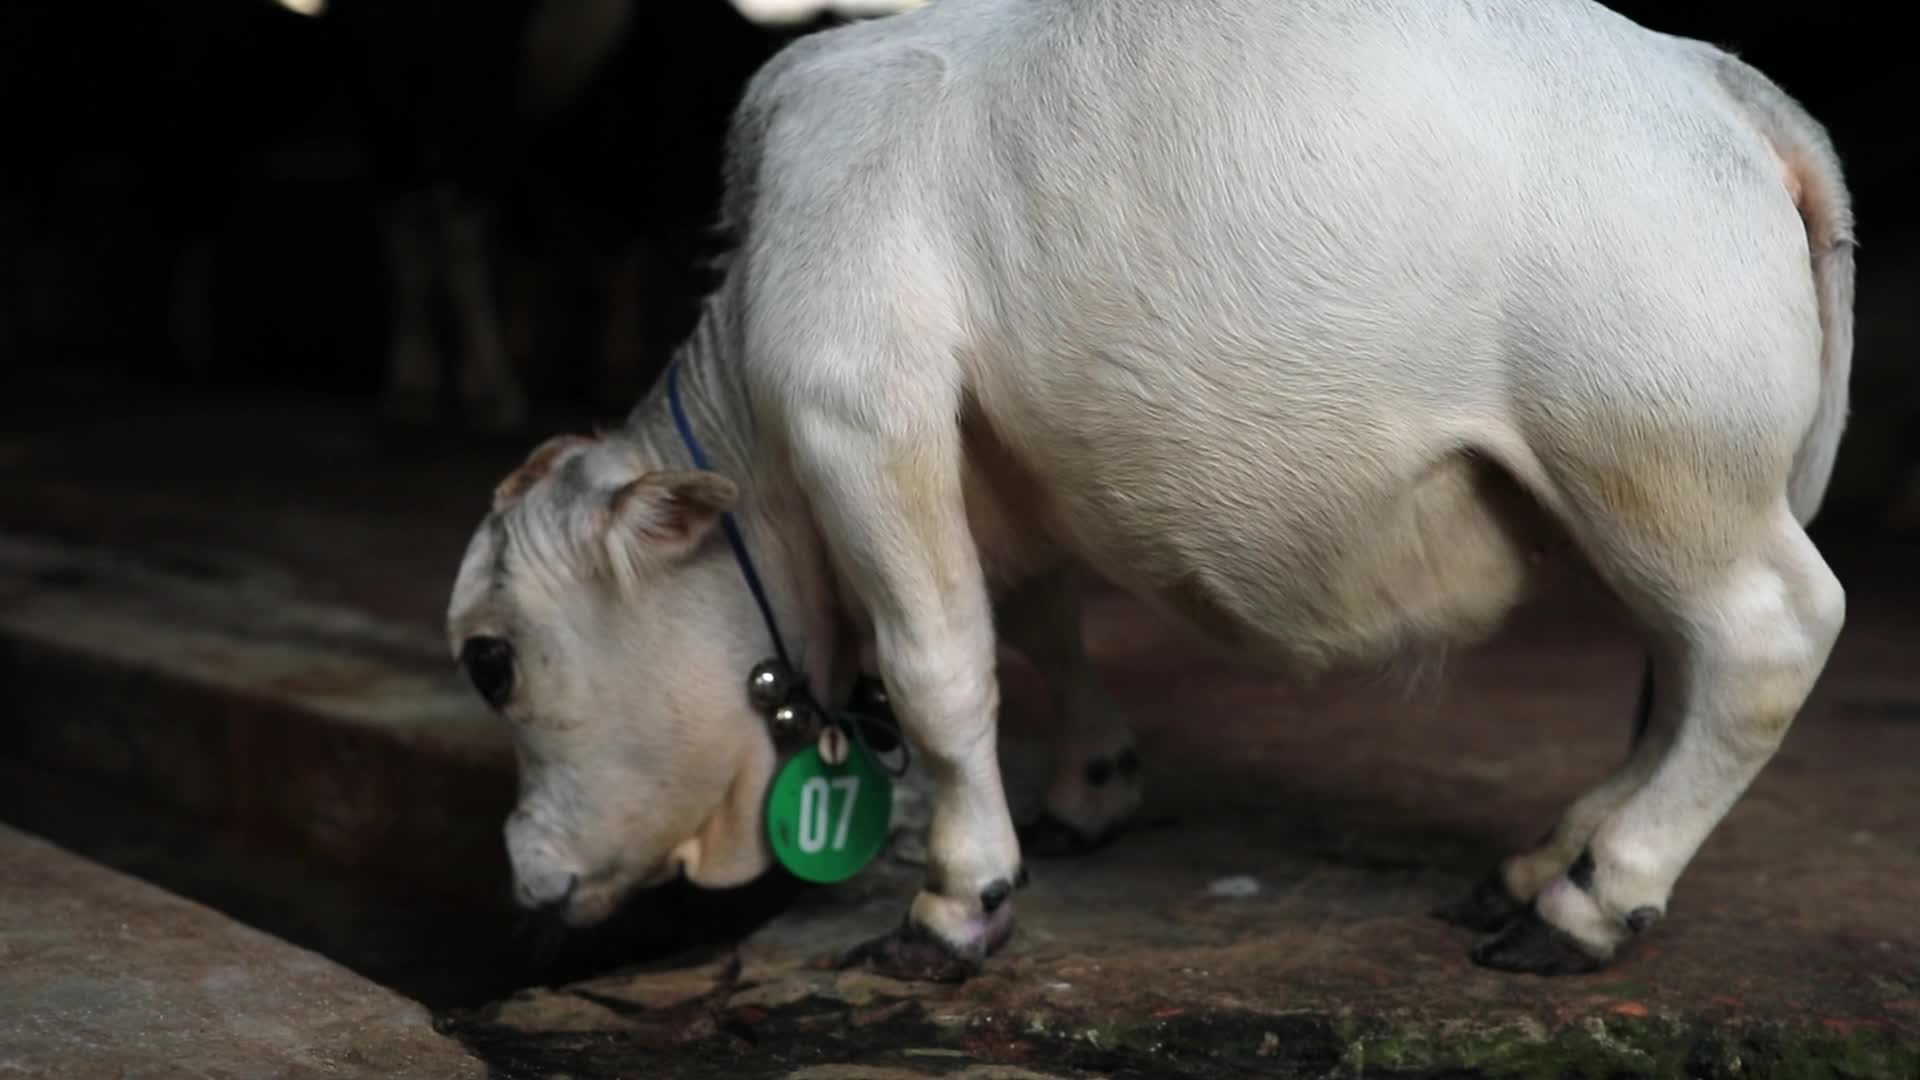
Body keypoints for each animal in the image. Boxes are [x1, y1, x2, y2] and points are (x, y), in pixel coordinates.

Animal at [446, 0, 1855, 980]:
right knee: (1678, 670)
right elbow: (1035, 620)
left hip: (1652, 461)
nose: (522, 877)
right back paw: (1548, 858)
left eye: (492, 660)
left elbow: (941, 664)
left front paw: (958, 904)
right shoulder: (988, 452)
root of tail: (1722, 84)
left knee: (1760, 645)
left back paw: (1593, 899)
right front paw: (1091, 787)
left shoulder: (862, 406)